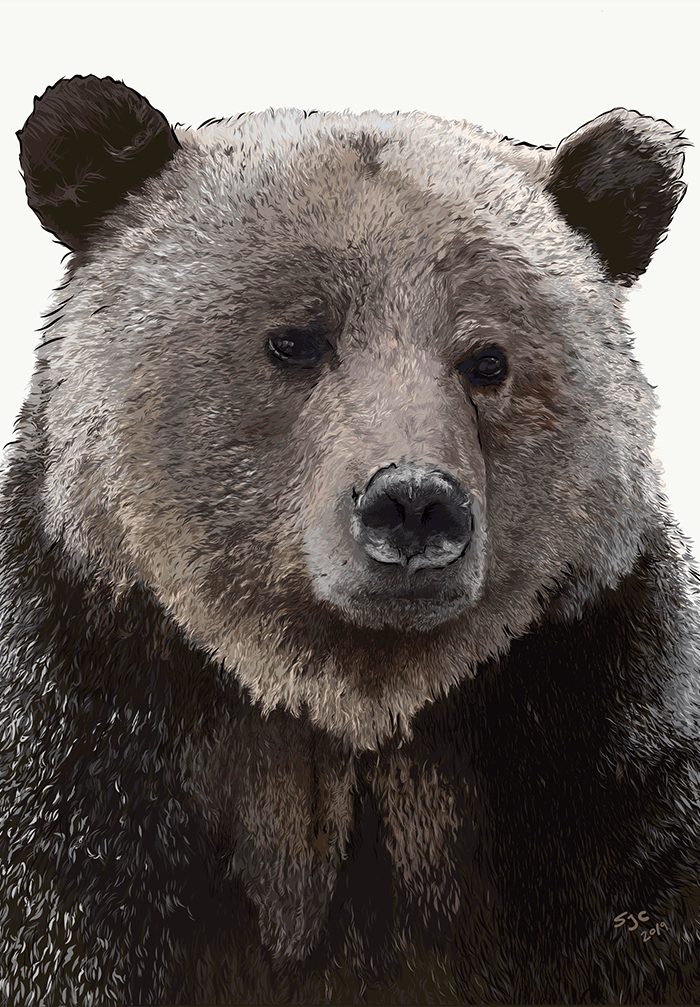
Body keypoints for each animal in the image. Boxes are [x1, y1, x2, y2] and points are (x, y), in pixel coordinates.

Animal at [1, 73, 699, 1005]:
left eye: (487, 360)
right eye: (294, 341)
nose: (413, 504)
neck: (351, 694)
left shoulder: (594, 729)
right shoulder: (89, 730)